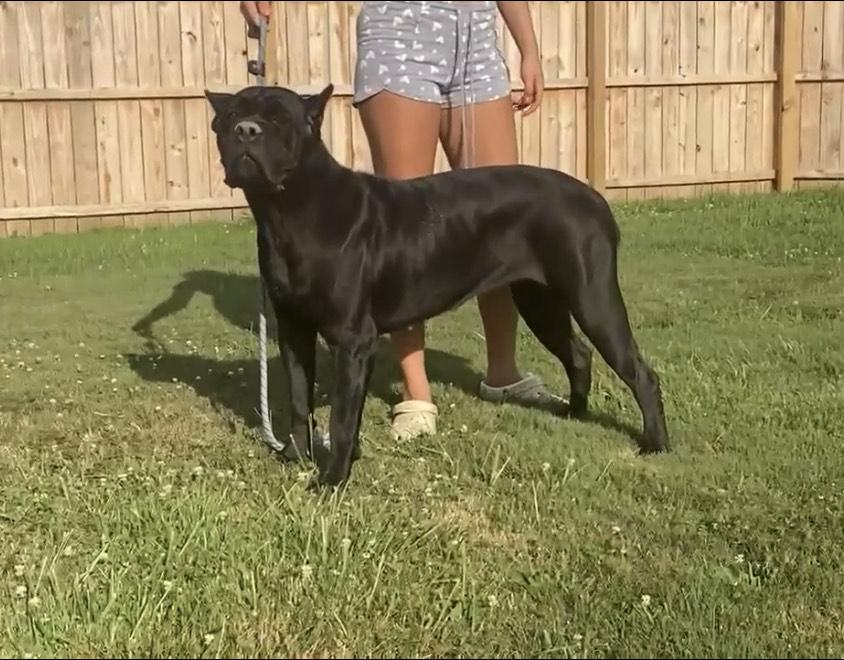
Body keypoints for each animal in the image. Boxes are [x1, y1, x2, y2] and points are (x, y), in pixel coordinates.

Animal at [205, 84, 669, 489]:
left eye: (279, 119)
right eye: (230, 116)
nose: (247, 130)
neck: (289, 208)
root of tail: (593, 198)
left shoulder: (353, 340)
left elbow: (341, 418)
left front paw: (333, 478)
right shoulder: (294, 329)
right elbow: (300, 400)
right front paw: (297, 456)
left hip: (592, 299)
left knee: (640, 372)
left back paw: (655, 444)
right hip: (539, 300)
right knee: (577, 353)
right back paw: (575, 414)